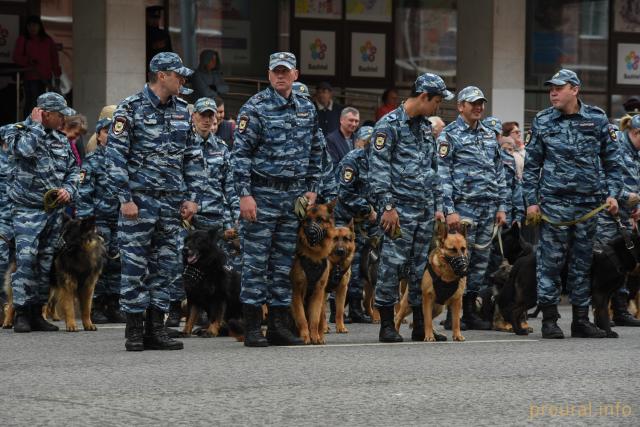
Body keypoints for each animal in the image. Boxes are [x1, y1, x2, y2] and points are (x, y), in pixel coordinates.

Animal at [292, 202, 336, 346]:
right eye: (307, 220)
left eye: (320, 220)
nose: (311, 233)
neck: (314, 256)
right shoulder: (296, 292)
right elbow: (302, 318)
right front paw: (305, 337)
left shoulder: (318, 292)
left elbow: (315, 319)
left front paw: (314, 336)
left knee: (321, 318)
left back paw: (321, 336)